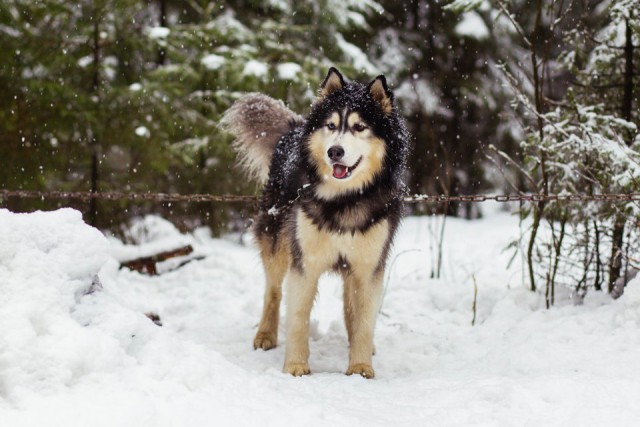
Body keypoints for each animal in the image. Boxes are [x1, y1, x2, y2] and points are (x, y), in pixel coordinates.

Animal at [220, 67, 410, 378]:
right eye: (331, 126)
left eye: (359, 127)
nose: (335, 151)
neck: (344, 200)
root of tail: (295, 127)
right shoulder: (304, 262)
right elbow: (297, 317)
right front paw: (295, 366)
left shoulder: (369, 266)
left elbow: (363, 320)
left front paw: (360, 367)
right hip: (276, 241)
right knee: (273, 291)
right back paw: (266, 334)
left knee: (350, 307)